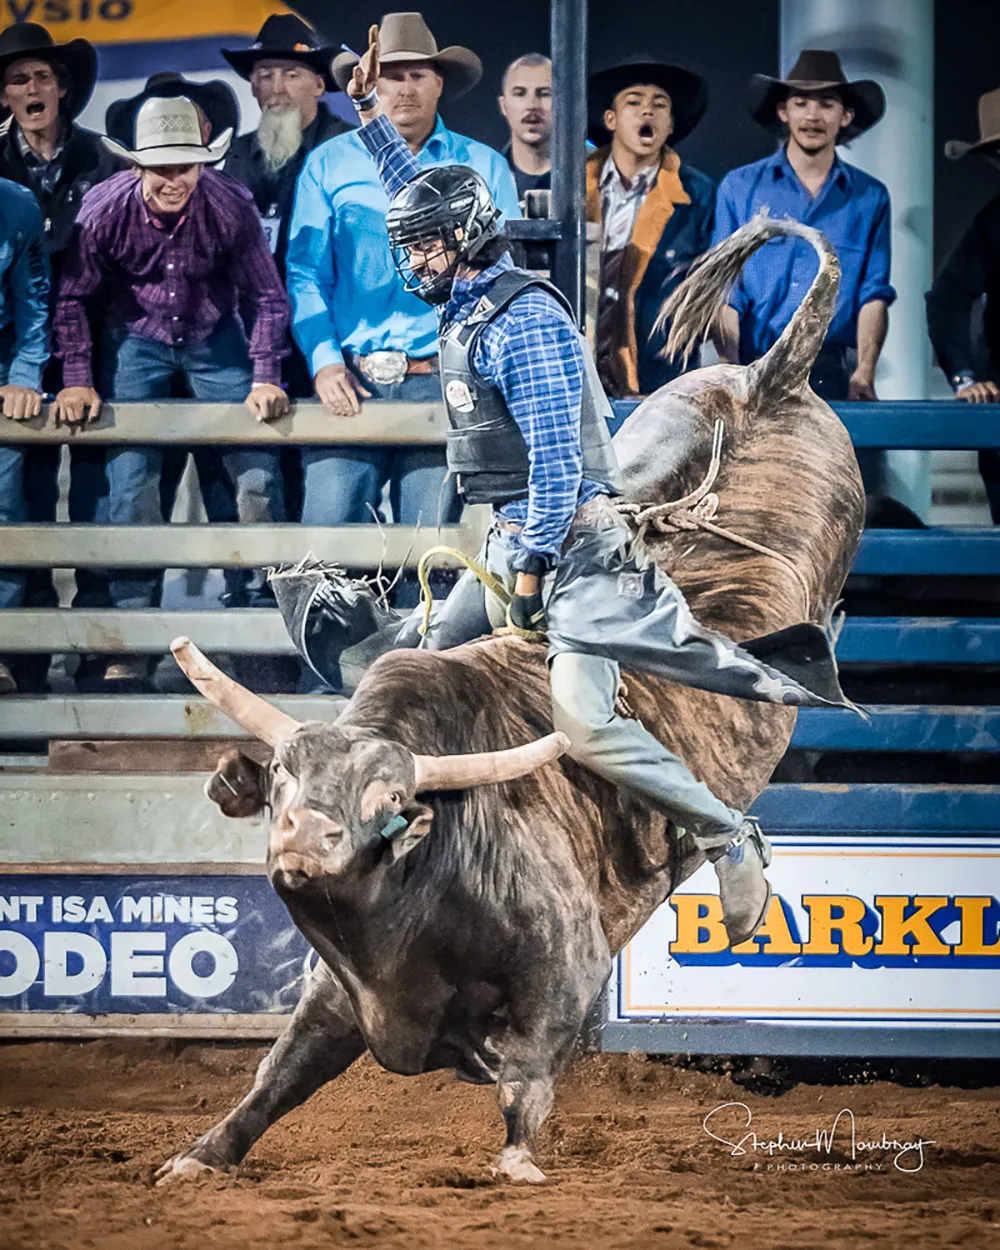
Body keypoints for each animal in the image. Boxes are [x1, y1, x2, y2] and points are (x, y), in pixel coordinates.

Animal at [158, 220, 865, 1185]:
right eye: (278, 786)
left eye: (388, 797)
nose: (303, 842)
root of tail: (772, 375)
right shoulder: (337, 998)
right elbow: (274, 1080)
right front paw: (198, 1158)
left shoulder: (560, 982)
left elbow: (525, 1083)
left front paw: (519, 1167)